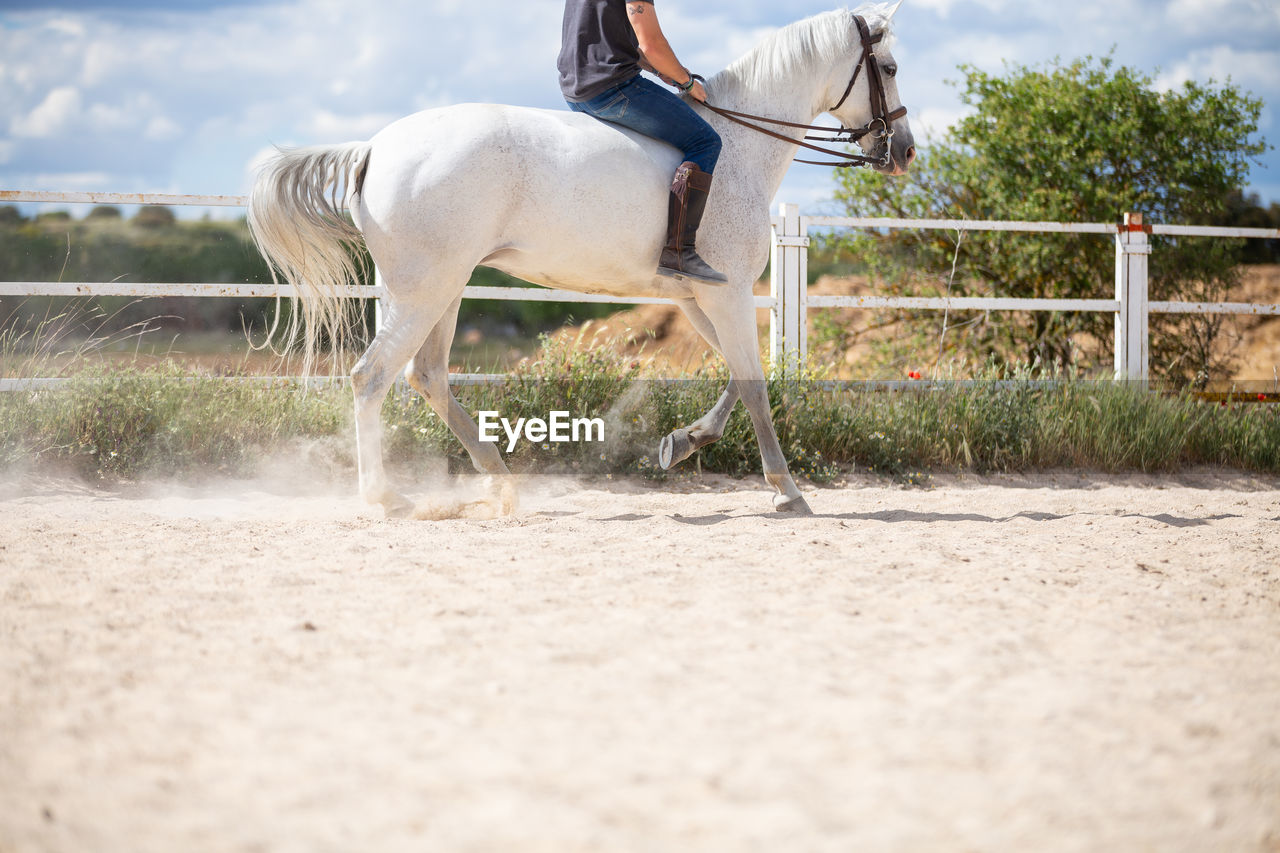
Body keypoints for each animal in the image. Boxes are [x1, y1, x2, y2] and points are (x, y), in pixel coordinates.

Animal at [247, 3, 911, 514]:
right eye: (889, 67)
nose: (902, 150)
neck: (741, 145)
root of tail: (375, 147)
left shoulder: (699, 297)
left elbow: (738, 376)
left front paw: (683, 441)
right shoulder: (726, 292)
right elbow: (753, 386)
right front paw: (785, 490)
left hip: (436, 288)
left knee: (426, 376)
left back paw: (498, 480)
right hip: (426, 289)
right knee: (372, 377)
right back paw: (389, 498)